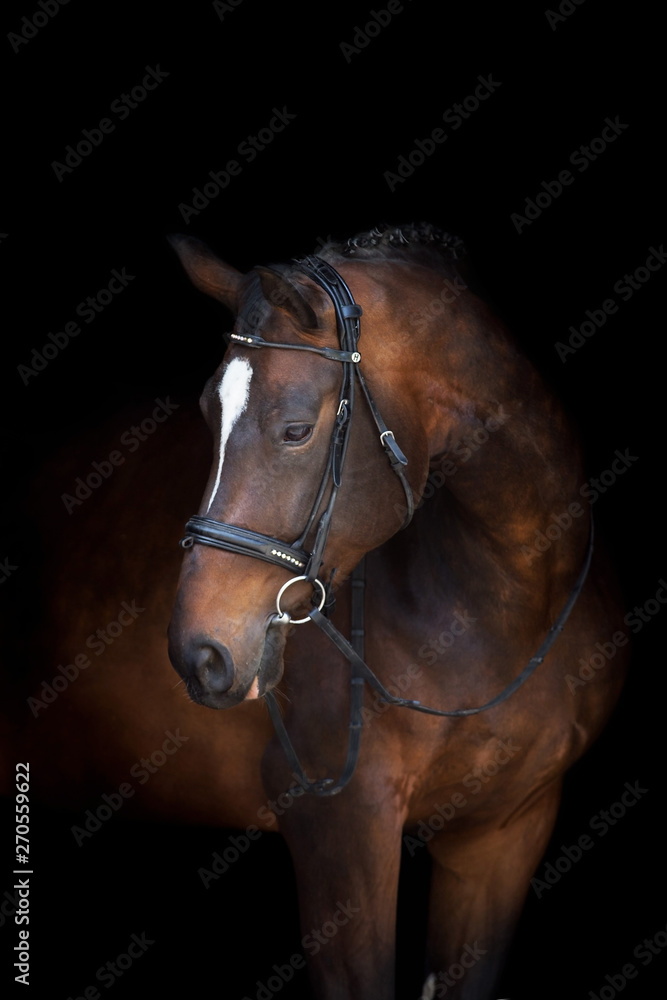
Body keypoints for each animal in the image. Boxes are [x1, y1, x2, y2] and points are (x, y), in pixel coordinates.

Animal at [166, 222, 629, 1000]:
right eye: (207, 413)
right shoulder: (339, 829)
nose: (198, 653)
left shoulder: (505, 831)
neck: (510, 600)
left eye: (295, 430)